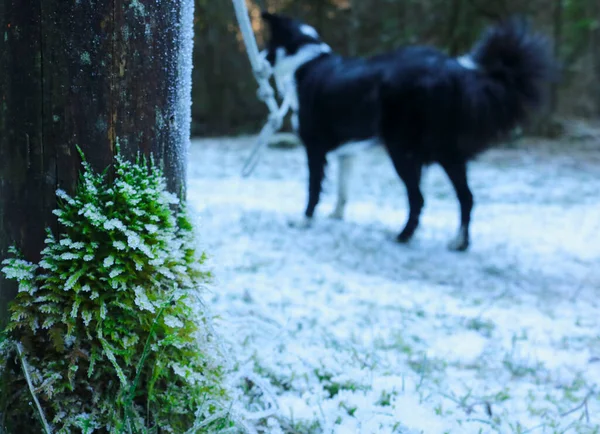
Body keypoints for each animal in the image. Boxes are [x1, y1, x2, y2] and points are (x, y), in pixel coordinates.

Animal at [260, 12, 556, 251]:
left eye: (267, 43)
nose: (260, 61)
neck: (305, 61)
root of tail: (455, 72)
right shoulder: (348, 153)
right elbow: (343, 190)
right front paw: (336, 216)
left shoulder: (314, 147)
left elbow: (313, 188)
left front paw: (304, 220)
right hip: (447, 153)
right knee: (466, 197)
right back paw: (459, 243)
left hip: (403, 150)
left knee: (419, 198)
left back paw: (403, 236)